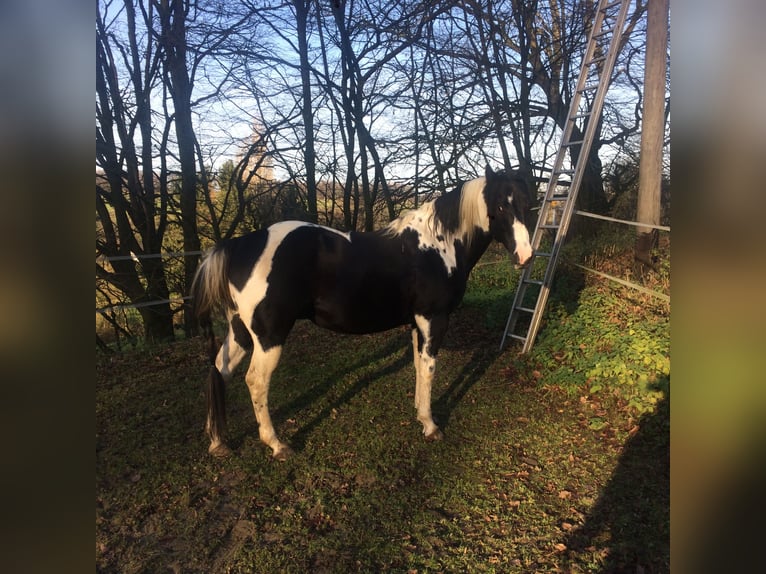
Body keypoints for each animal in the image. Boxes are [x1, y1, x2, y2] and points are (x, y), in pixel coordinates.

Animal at [191, 165, 534, 460]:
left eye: (526, 204)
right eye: (500, 206)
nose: (526, 256)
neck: (438, 246)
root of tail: (238, 245)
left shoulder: (416, 323)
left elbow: (418, 367)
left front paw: (419, 414)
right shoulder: (433, 319)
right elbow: (429, 369)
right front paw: (430, 425)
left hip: (241, 332)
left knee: (220, 370)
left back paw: (218, 441)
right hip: (269, 337)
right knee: (256, 381)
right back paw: (276, 444)